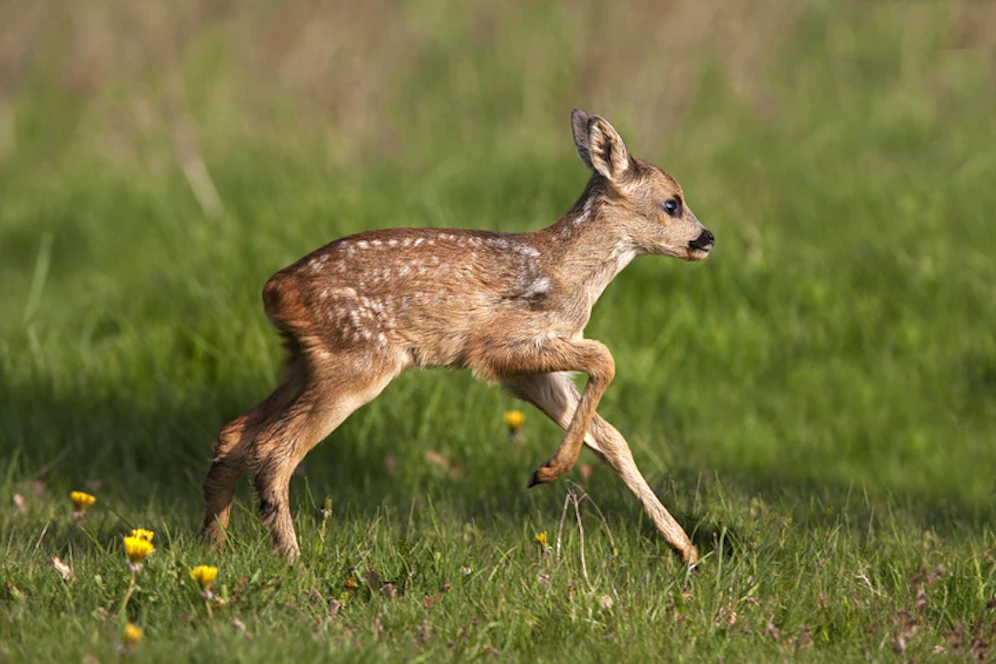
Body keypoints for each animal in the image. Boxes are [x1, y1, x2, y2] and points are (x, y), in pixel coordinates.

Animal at [200, 108, 715, 566]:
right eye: (672, 203)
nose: (707, 238)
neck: (570, 275)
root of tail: (275, 289)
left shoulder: (529, 375)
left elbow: (612, 439)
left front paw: (685, 549)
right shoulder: (498, 347)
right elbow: (606, 359)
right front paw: (547, 471)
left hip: (303, 362)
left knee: (234, 434)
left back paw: (212, 548)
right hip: (358, 359)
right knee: (273, 449)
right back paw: (292, 561)